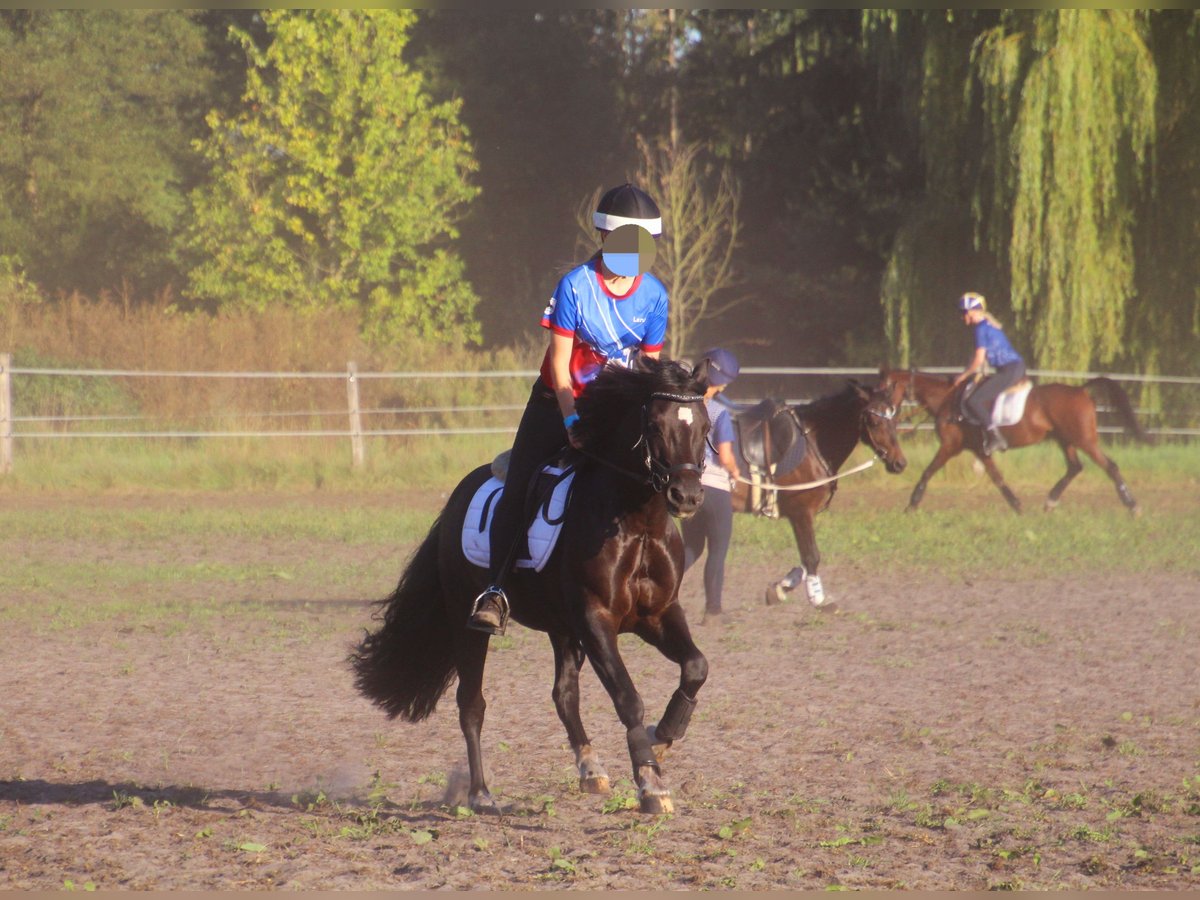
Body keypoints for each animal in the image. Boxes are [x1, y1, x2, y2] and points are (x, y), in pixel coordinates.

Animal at [352, 357, 710, 816]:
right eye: (655, 426)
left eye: (704, 426)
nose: (687, 496)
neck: (637, 522)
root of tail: (458, 497)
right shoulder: (596, 619)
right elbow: (627, 697)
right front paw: (650, 782)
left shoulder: (658, 614)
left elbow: (696, 667)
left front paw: (661, 737)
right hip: (468, 619)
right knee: (471, 704)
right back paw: (481, 793)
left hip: (562, 628)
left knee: (564, 695)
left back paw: (591, 769)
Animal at [724, 379, 902, 607]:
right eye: (873, 421)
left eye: (894, 419)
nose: (899, 463)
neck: (812, 445)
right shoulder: (802, 512)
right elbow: (812, 556)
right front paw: (818, 597)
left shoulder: (801, 516)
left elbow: (803, 560)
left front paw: (781, 587)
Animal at [878, 367, 1147, 518]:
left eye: (884, 390)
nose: (878, 412)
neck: (948, 399)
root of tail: (1080, 390)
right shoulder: (980, 450)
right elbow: (998, 479)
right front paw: (1017, 506)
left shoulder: (950, 446)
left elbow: (927, 472)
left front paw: (911, 506)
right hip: (1065, 439)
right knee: (1074, 467)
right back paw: (1050, 502)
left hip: (1084, 439)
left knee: (1110, 466)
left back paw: (1132, 506)